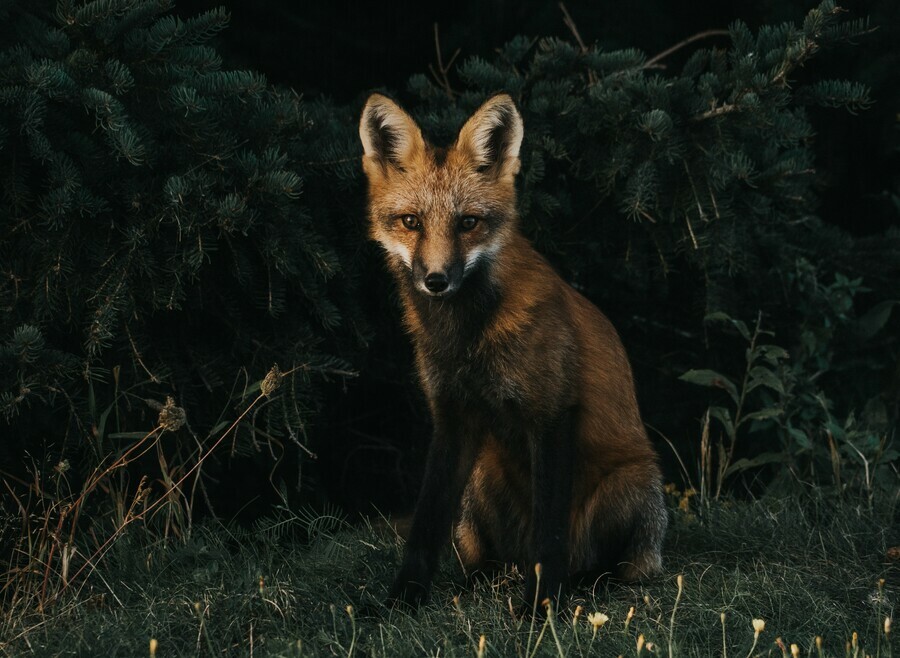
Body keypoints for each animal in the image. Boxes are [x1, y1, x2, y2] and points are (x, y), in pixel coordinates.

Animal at [360, 92, 668, 608]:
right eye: (411, 222)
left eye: (468, 223)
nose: (436, 281)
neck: (466, 339)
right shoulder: (452, 416)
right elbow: (425, 524)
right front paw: (403, 599)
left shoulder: (552, 412)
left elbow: (549, 533)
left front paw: (541, 608)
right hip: (481, 479)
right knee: (487, 556)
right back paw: (486, 578)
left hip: (633, 486)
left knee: (611, 566)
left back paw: (583, 583)